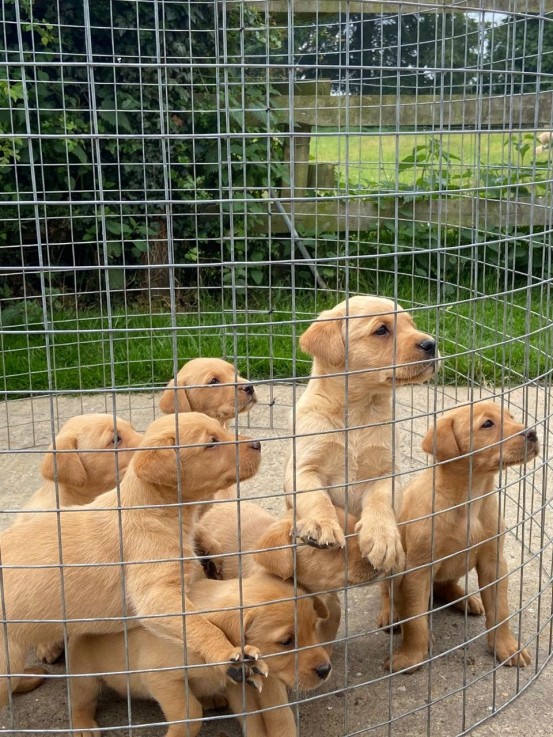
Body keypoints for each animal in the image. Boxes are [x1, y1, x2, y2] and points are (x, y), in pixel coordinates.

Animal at [0, 412, 260, 712]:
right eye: (211, 443)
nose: (258, 443)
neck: (153, 509)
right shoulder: (155, 597)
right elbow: (200, 625)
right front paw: (230, 654)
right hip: (8, 655)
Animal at [67, 572, 330, 736]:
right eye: (286, 641)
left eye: (314, 628)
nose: (326, 670)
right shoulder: (160, 678)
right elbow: (191, 714)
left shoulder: (237, 685)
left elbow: (254, 719)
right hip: (84, 676)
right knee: (80, 701)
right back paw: (83, 725)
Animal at [382, 402, 536, 672]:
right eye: (487, 424)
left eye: (511, 417)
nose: (533, 433)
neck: (470, 497)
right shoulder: (418, 569)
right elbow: (415, 620)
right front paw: (411, 656)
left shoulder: (493, 562)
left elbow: (500, 610)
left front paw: (507, 646)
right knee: (390, 594)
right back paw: (391, 614)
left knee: (444, 586)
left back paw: (466, 599)